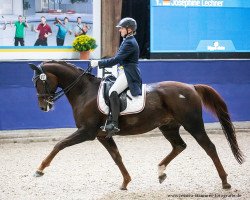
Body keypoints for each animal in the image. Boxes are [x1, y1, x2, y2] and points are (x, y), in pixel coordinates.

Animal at [28, 60, 243, 189]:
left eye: (40, 82)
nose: (43, 106)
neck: (84, 92)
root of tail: (191, 87)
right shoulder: (102, 135)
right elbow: (117, 157)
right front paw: (126, 182)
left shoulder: (86, 132)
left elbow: (59, 145)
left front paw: (40, 169)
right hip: (168, 126)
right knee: (179, 146)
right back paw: (161, 171)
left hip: (193, 124)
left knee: (209, 147)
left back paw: (225, 182)